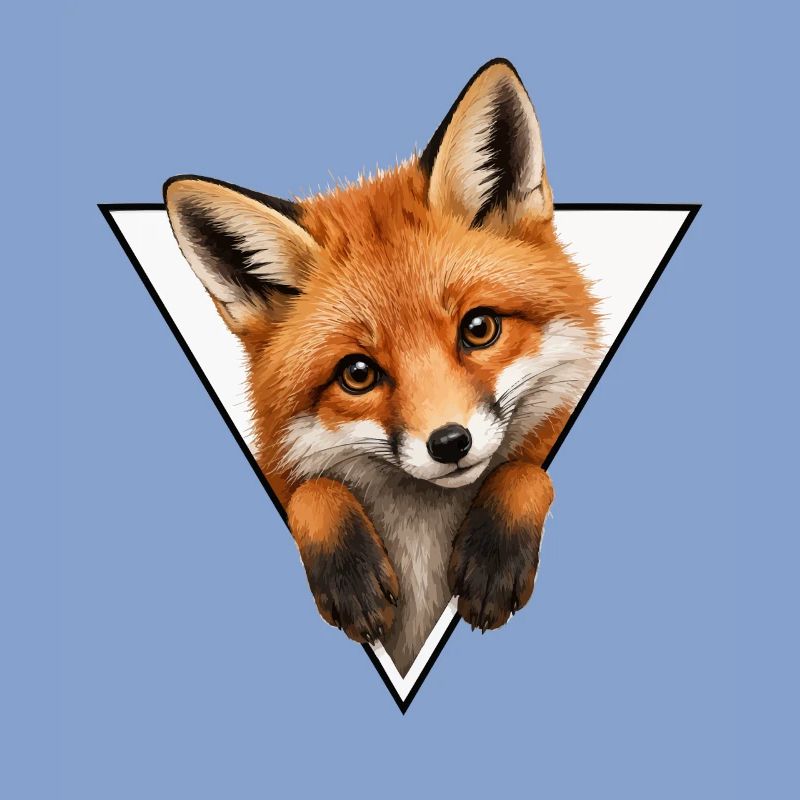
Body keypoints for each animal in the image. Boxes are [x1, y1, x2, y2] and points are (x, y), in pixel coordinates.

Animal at [164, 59, 601, 675]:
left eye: (479, 328)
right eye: (358, 373)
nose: (450, 443)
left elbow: (528, 471)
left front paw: (493, 553)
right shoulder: (283, 472)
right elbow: (311, 492)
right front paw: (349, 572)